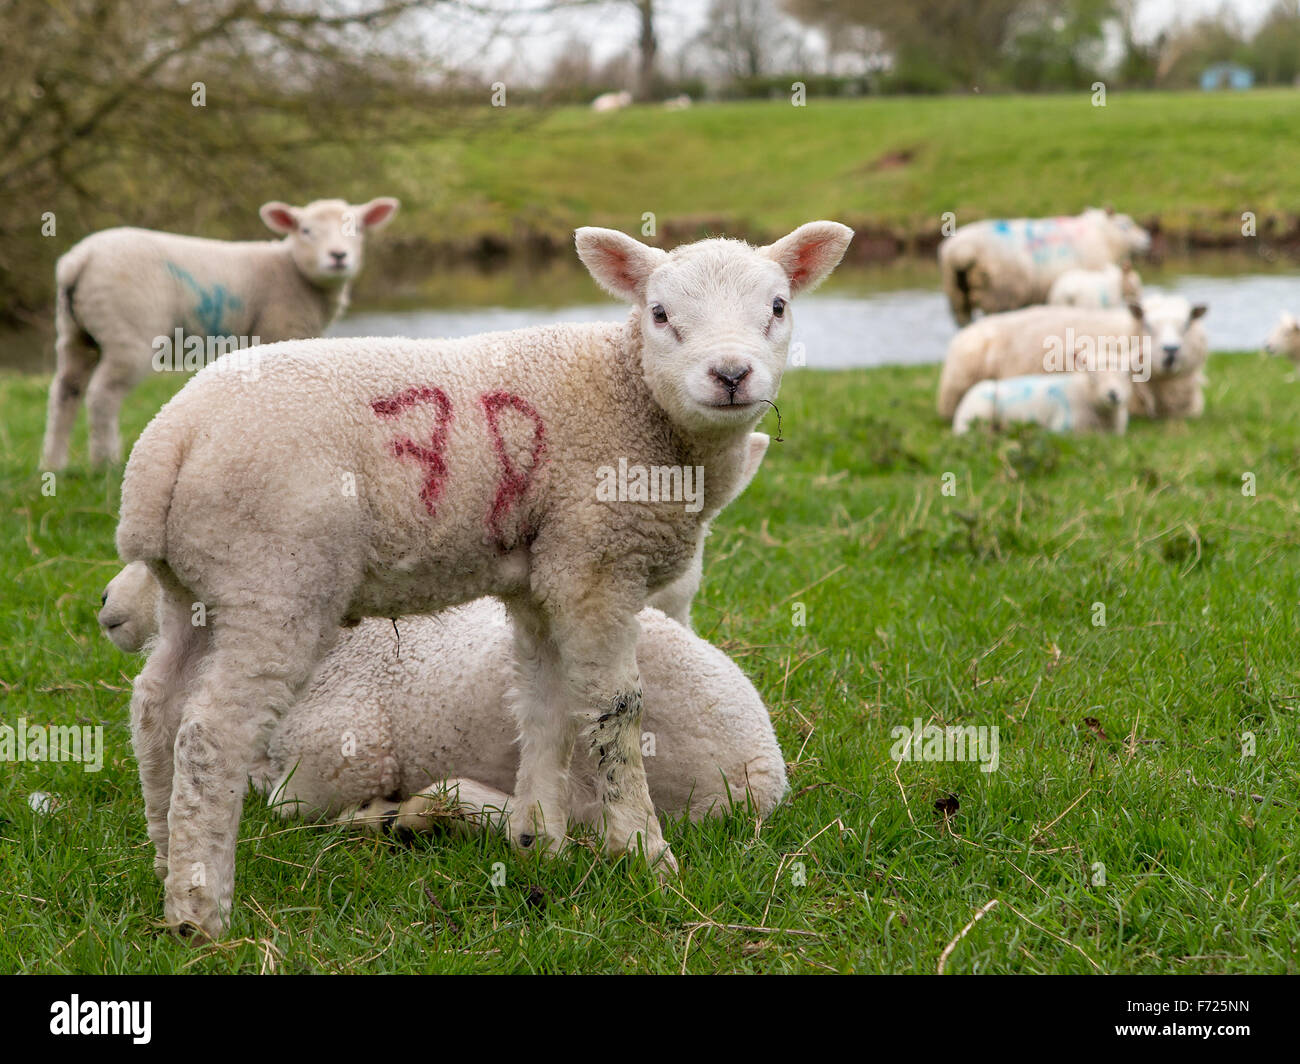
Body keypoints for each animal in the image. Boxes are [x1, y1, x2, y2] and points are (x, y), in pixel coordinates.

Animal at [40, 197, 399, 471]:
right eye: (306, 231)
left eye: (357, 230)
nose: (338, 256)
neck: (292, 271)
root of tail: (79, 260)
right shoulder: (280, 328)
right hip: (128, 330)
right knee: (102, 395)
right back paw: (106, 462)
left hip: (74, 332)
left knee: (65, 390)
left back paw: (53, 464)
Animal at [939, 208, 1151, 325]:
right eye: (1125, 224)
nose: (1147, 239)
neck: (1104, 236)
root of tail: (960, 251)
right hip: (999, 296)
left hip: (956, 294)